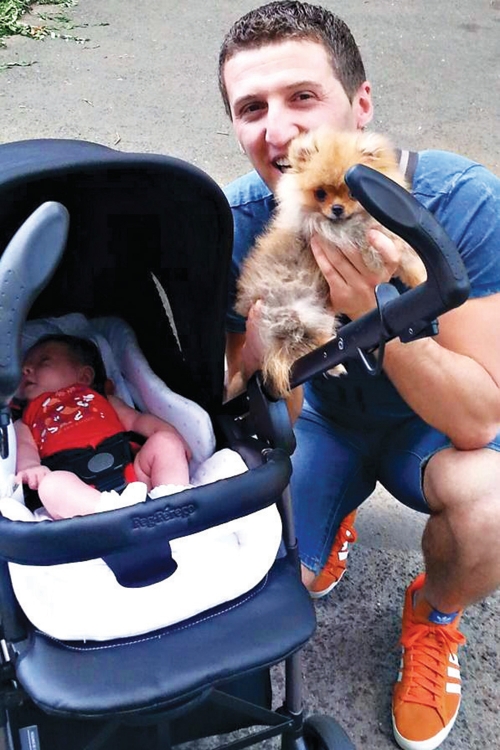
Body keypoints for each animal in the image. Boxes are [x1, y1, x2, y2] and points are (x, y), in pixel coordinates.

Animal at [234, 128, 427, 398]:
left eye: (353, 193)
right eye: (320, 193)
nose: (336, 208)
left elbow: (407, 256)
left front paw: (421, 277)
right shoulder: (358, 241)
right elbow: (392, 249)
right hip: (302, 312)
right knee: (310, 345)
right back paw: (334, 365)